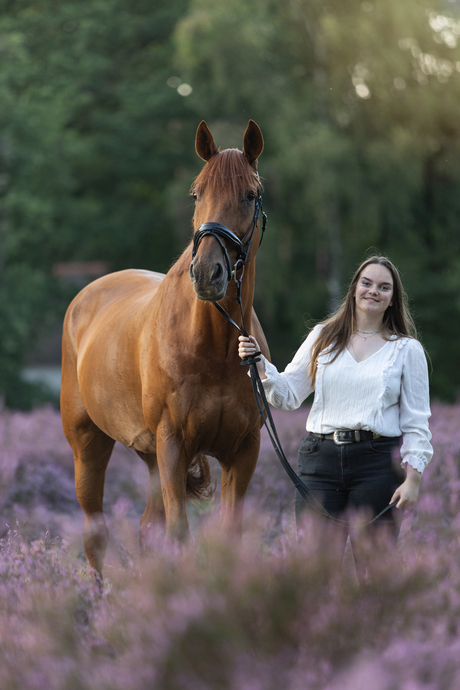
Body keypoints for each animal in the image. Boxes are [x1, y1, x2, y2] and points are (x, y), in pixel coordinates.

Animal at [61, 119, 270, 576]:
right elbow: (178, 536)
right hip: (89, 447)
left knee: (146, 528)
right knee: (95, 534)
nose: (207, 273)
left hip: (149, 454)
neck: (214, 348)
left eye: (249, 194)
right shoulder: (173, 445)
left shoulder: (243, 450)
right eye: (197, 193)